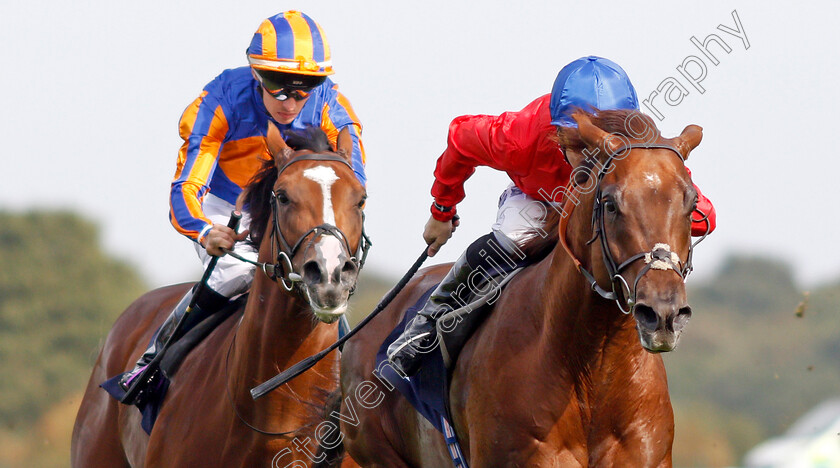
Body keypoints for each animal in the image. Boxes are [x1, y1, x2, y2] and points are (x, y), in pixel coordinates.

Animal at [338, 110, 704, 468]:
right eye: (611, 203)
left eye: (692, 204)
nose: (663, 313)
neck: (594, 369)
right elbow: (465, 138)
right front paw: (438, 221)